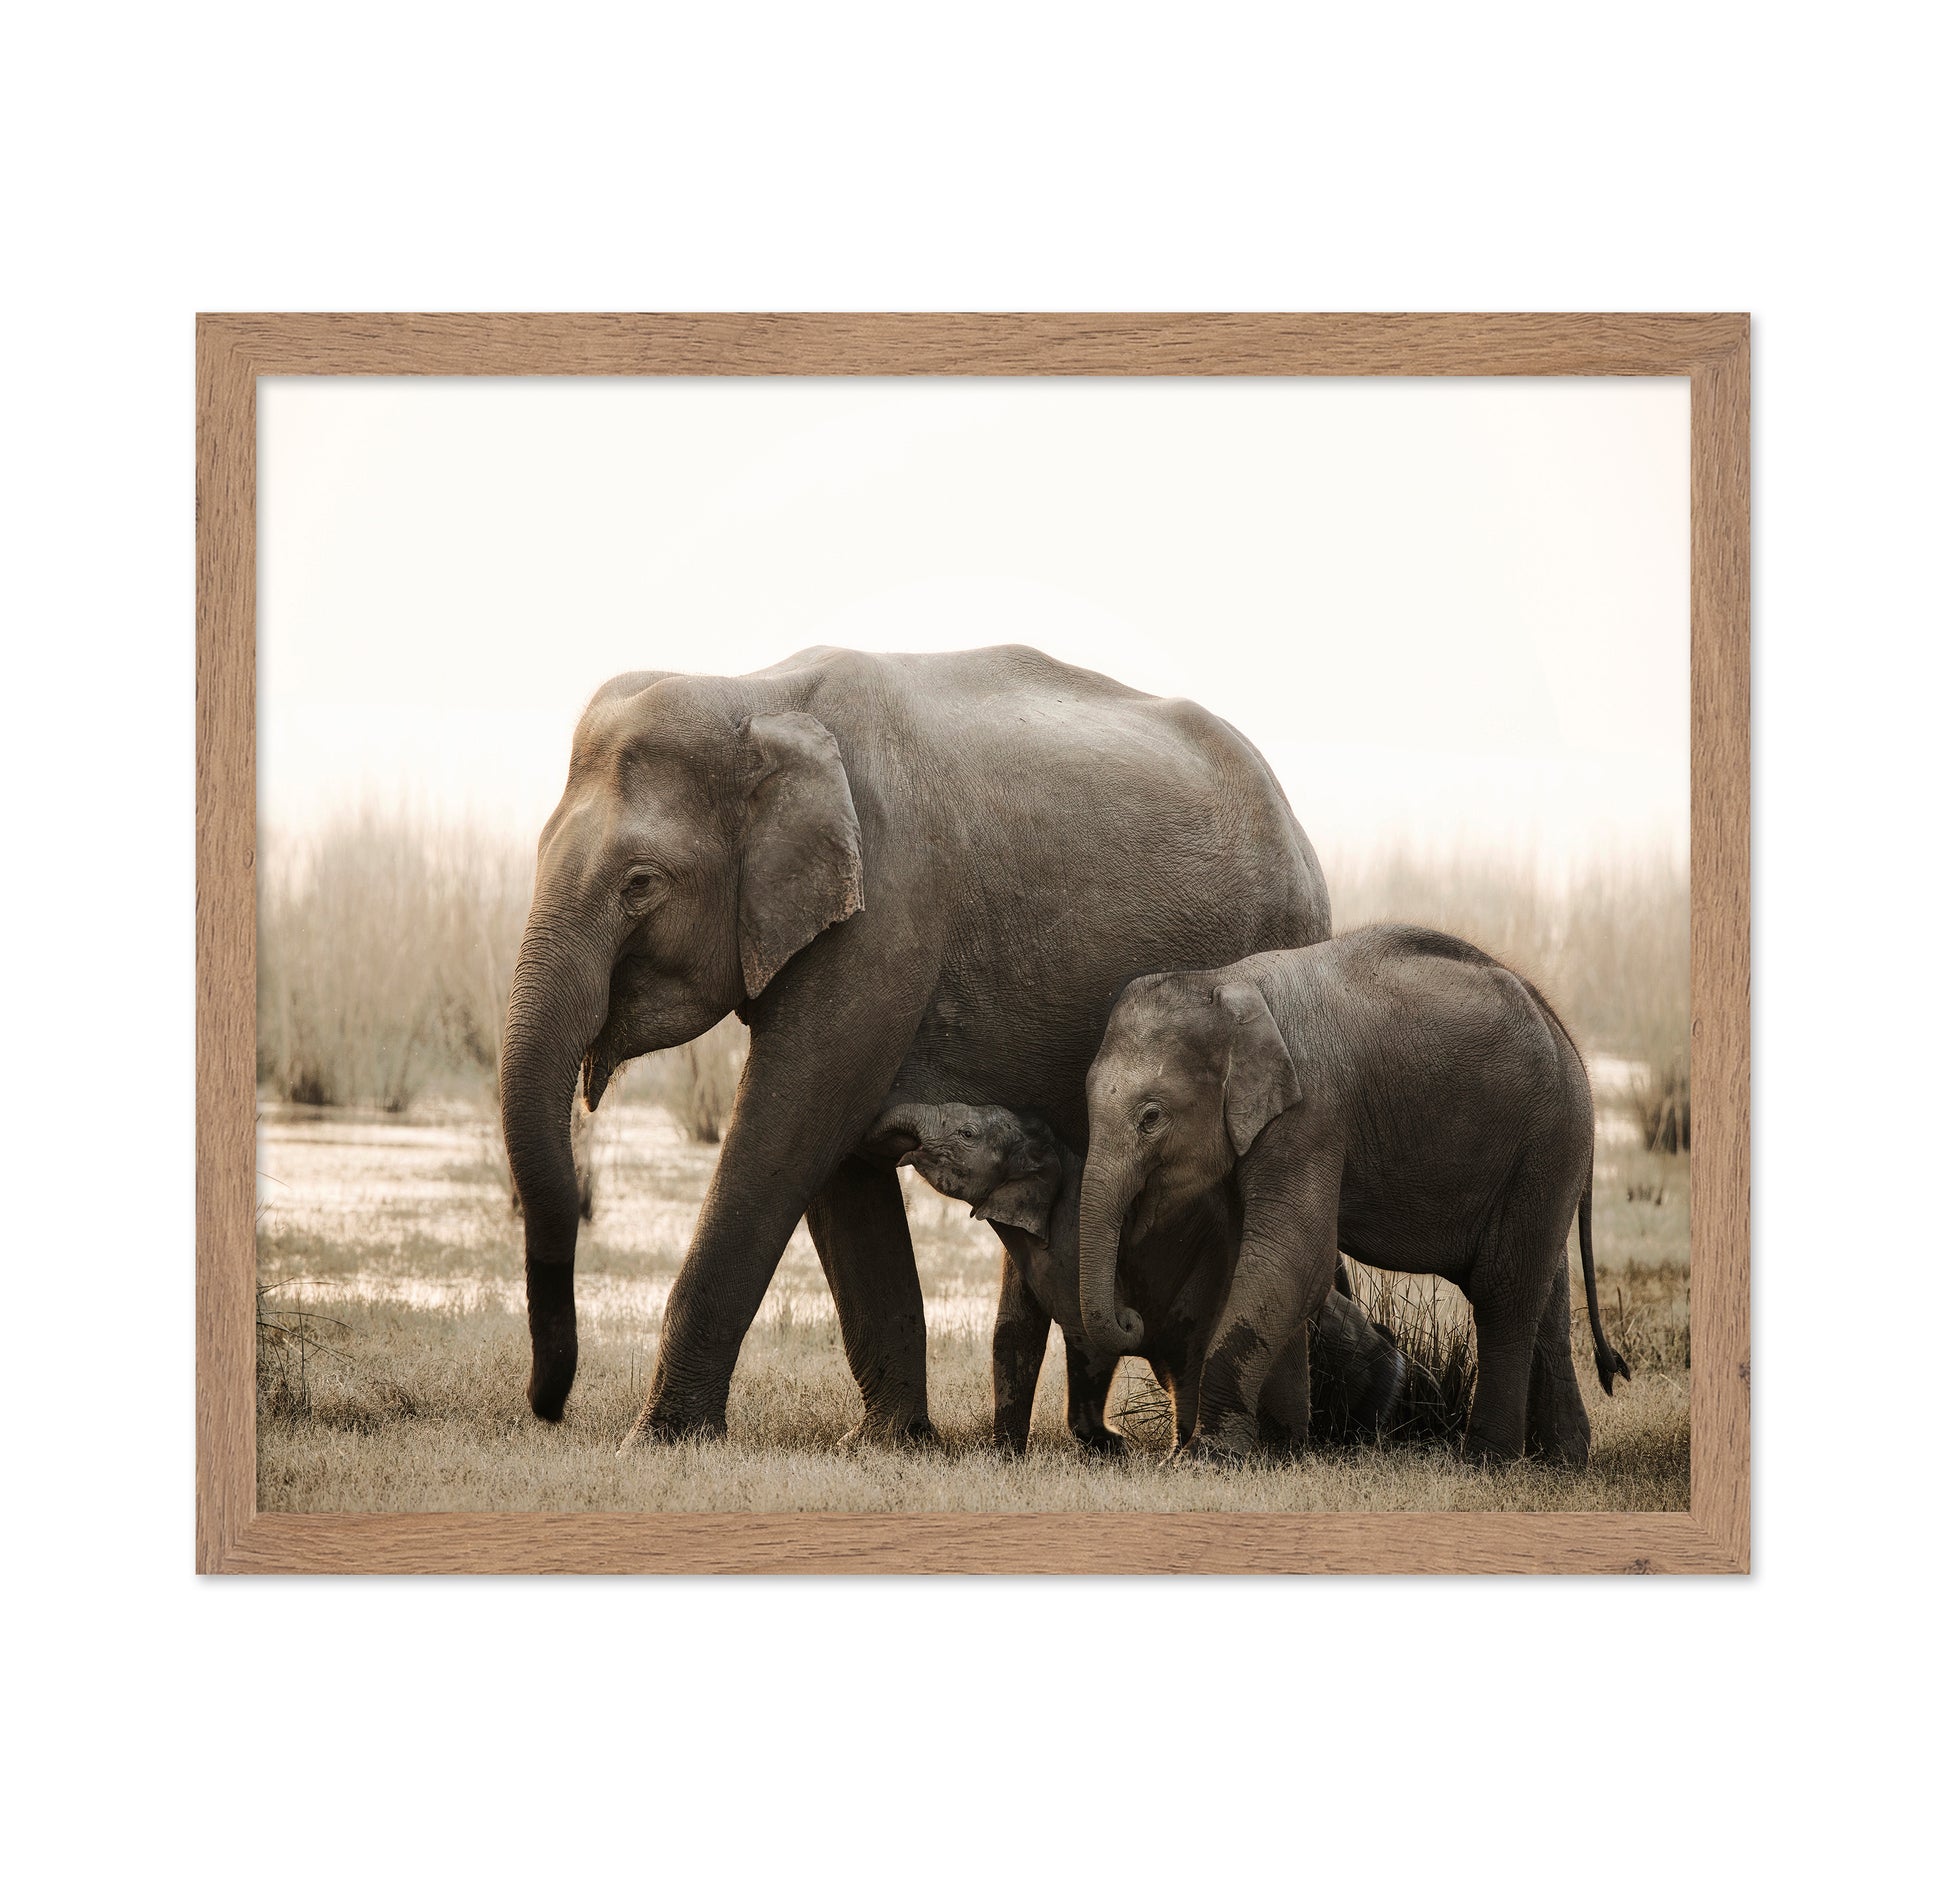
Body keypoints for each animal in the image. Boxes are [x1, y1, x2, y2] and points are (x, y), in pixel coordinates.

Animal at [499, 645, 1329, 1440]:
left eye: (640, 883)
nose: (549, 1404)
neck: (758, 696)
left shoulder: (885, 912)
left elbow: (795, 1122)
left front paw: (660, 1438)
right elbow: (835, 1161)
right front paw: (892, 1439)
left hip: (1281, 951)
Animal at [871, 1100, 1415, 1453]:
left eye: (966, 1135)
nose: (893, 1148)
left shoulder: (1074, 1239)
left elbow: (1087, 1335)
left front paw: (1111, 1448)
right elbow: (1014, 1331)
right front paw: (1003, 1454)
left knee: (1192, 1359)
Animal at [1075, 925, 1631, 1466]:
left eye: (1151, 1117)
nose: (1129, 1316)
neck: (1225, 983)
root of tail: (1565, 1034)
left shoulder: (1311, 1116)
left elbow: (1292, 1260)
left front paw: (1208, 1458)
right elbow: (1254, 1263)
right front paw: (1278, 1452)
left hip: (1547, 1142)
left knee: (1503, 1292)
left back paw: (1487, 1462)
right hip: (1545, 1162)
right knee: (1545, 1293)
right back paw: (1562, 1461)